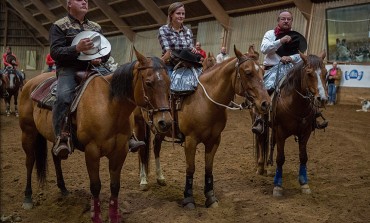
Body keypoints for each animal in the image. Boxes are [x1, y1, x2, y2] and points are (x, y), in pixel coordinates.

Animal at [18, 48, 172, 223]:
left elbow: (115, 186)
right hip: (28, 132)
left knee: (56, 156)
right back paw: (28, 198)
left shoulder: (120, 151)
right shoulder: (92, 151)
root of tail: (31, 83)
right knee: (30, 161)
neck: (110, 106)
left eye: (169, 82)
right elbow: (95, 186)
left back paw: (63, 189)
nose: (165, 122)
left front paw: (113, 216)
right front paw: (96, 216)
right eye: (148, 82)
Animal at [133, 45, 268, 209]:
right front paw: (188, 198)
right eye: (248, 72)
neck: (205, 101)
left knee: (156, 147)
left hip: (161, 127)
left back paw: (160, 178)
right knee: (142, 149)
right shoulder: (191, 141)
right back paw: (143, 180)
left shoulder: (214, 140)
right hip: (140, 124)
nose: (265, 103)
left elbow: (208, 168)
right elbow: (190, 168)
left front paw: (210, 197)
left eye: (263, 72)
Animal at [251, 51, 326, 197]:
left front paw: (304, 184)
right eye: (309, 73)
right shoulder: (281, 132)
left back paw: (269, 168)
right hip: (260, 124)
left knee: (270, 143)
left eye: (325, 73)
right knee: (260, 141)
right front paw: (278, 186)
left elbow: (303, 157)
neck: (295, 103)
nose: (323, 99)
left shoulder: (305, 133)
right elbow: (280, 158)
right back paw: (260, 167)